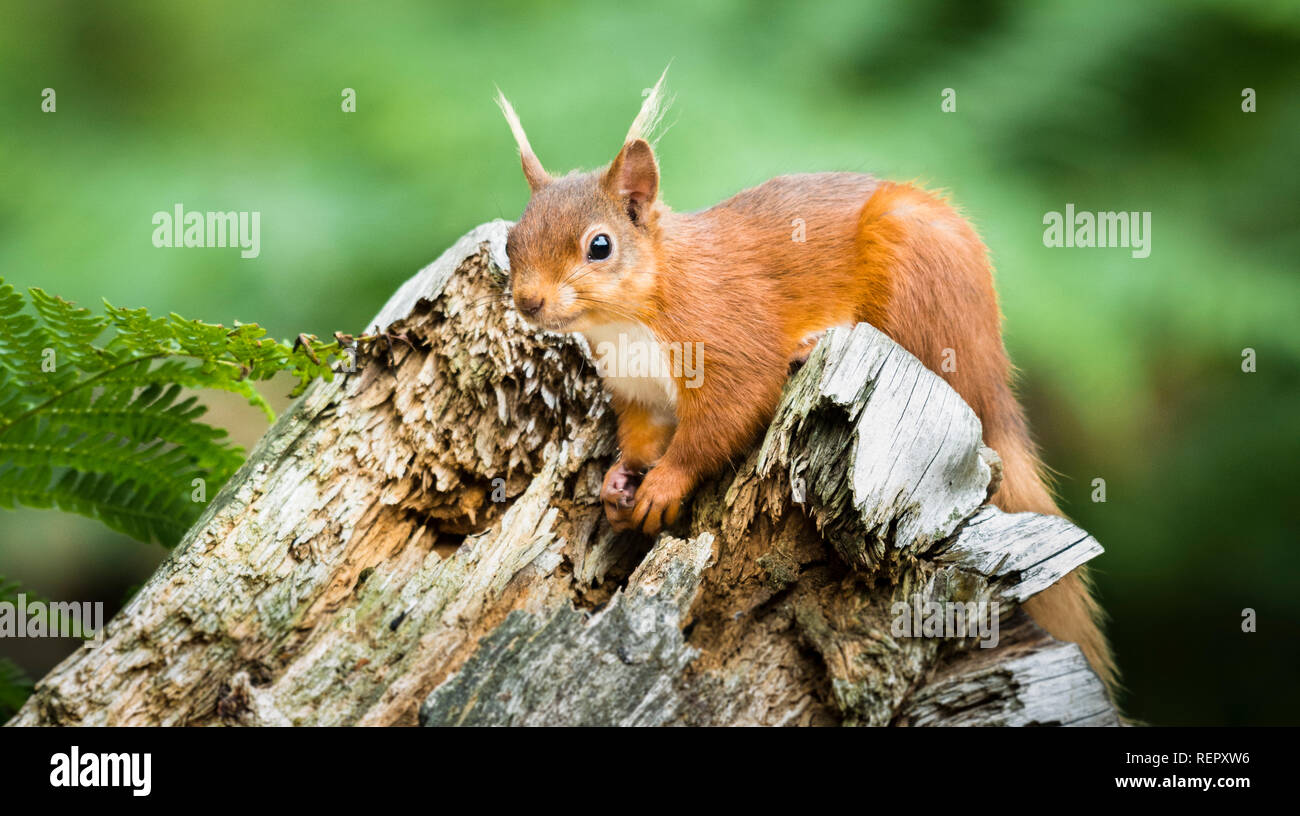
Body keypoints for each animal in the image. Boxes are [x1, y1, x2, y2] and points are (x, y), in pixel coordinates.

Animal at [491, 73, 1112, 691]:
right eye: (512, 242)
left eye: (600, 245)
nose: (528, 302)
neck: (630, 318)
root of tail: (996, 376)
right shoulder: (637, 391)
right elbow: (643, 437)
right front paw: (620, 482)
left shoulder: (730, 340)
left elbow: (724, 420)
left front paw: (665, 485)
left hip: (921, 280)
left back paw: (814, 343)